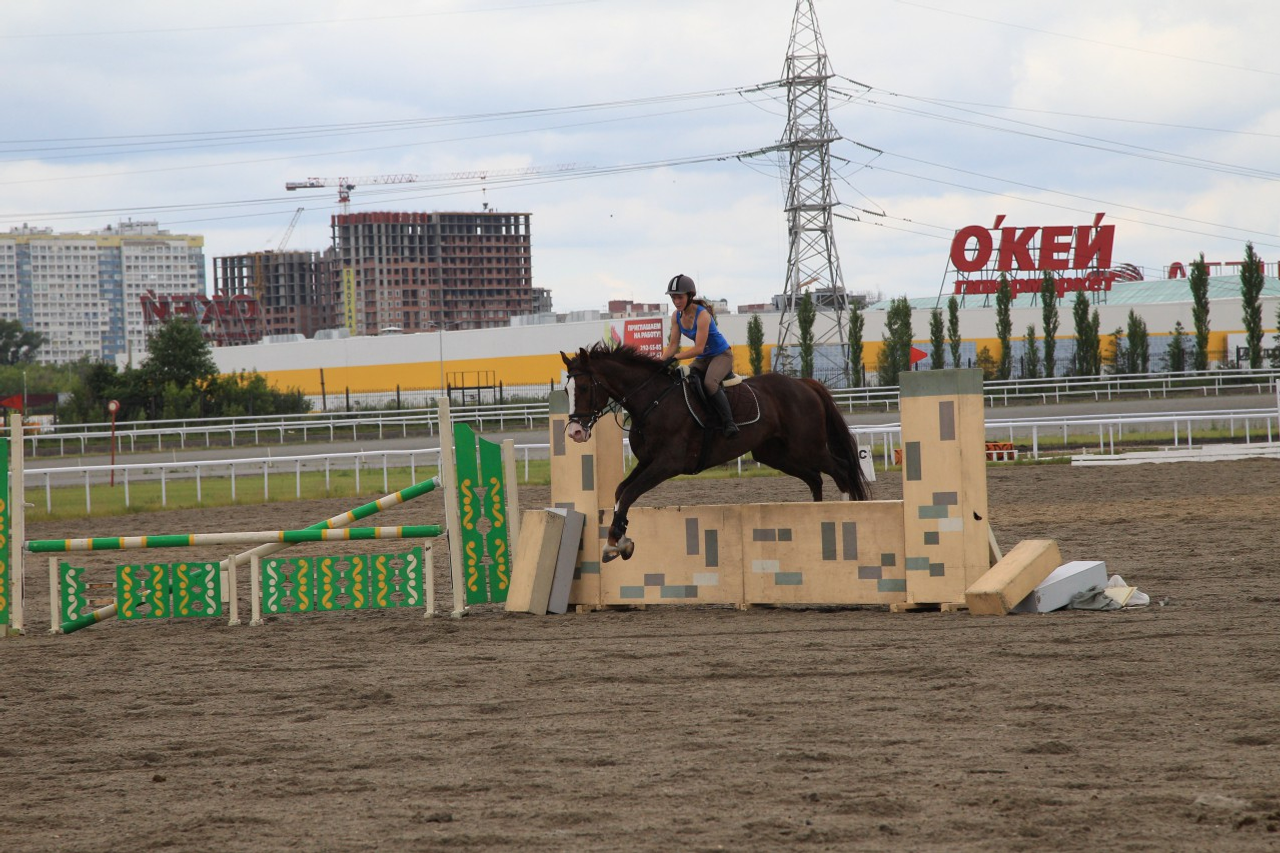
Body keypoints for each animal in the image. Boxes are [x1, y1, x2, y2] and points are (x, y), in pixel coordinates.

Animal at [560, 343, 870, 562]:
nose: (575, 432)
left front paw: (614, 544)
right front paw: (619, 540)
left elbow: (628, 494)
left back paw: (844, 516)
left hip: (808, 447)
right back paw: (819, 517)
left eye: (585, 387)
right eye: (565, 390)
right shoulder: (647, 462)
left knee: (841, 470)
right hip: (776, 454)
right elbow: (620, 492)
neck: (653, 401)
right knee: (815, 478)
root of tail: (805, 383)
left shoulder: (667, 464)